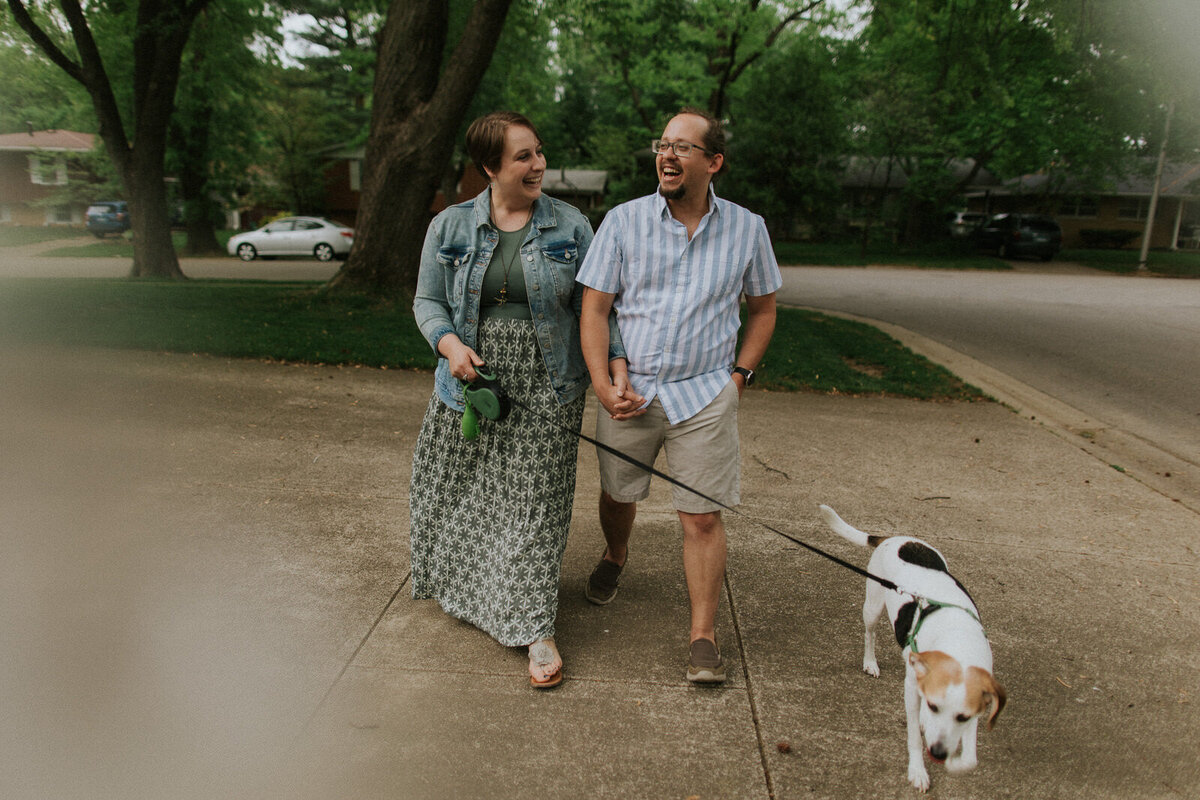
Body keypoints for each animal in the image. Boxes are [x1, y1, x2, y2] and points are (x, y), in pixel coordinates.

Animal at [820, 503, 1008, 791]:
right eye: (935, 706)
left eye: (963, 717)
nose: (939, 752)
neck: (957, 639)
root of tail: (895, 538)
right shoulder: (911, 688)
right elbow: (915, 739)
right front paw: (918, 771)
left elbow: (969, 759)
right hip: (873, 607)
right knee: (869, 634)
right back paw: (870, 663)